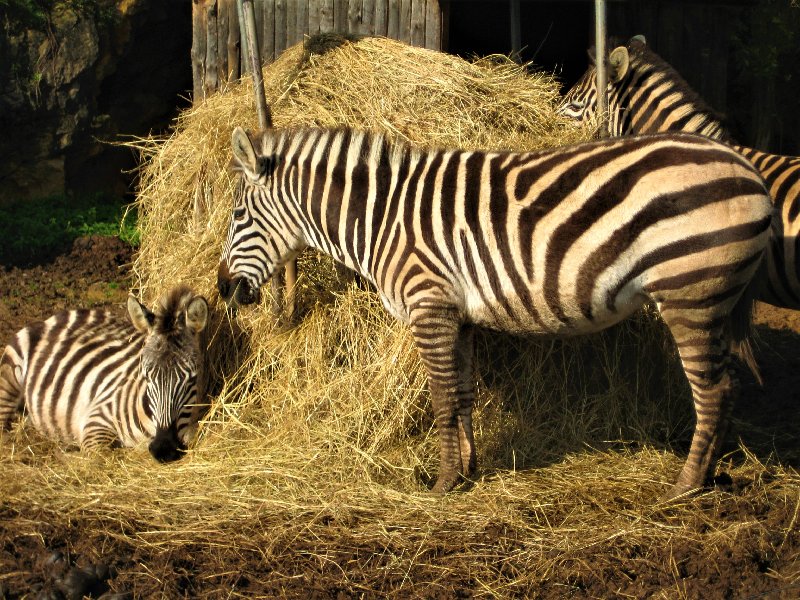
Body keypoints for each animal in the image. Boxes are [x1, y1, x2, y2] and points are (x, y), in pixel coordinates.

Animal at [0, 284, 209, 462]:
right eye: (146, 377)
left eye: (192, 379)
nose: (163, 449)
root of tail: (58, 315)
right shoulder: (97, 418)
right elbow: (103, 453)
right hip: (11, 373)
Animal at [219, 124, 776, 500]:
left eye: (239, 215)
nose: (223, 289)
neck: (381, 219)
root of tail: (745, 167)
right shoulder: (458, 314)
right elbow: (463, 395)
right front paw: (466, 471)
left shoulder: (430, 303)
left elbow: (442, 398)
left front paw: (442, 483)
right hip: (713, 301)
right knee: (728, 387)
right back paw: (709, 476)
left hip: (690, 294)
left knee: (713, 391)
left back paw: (684, 487)